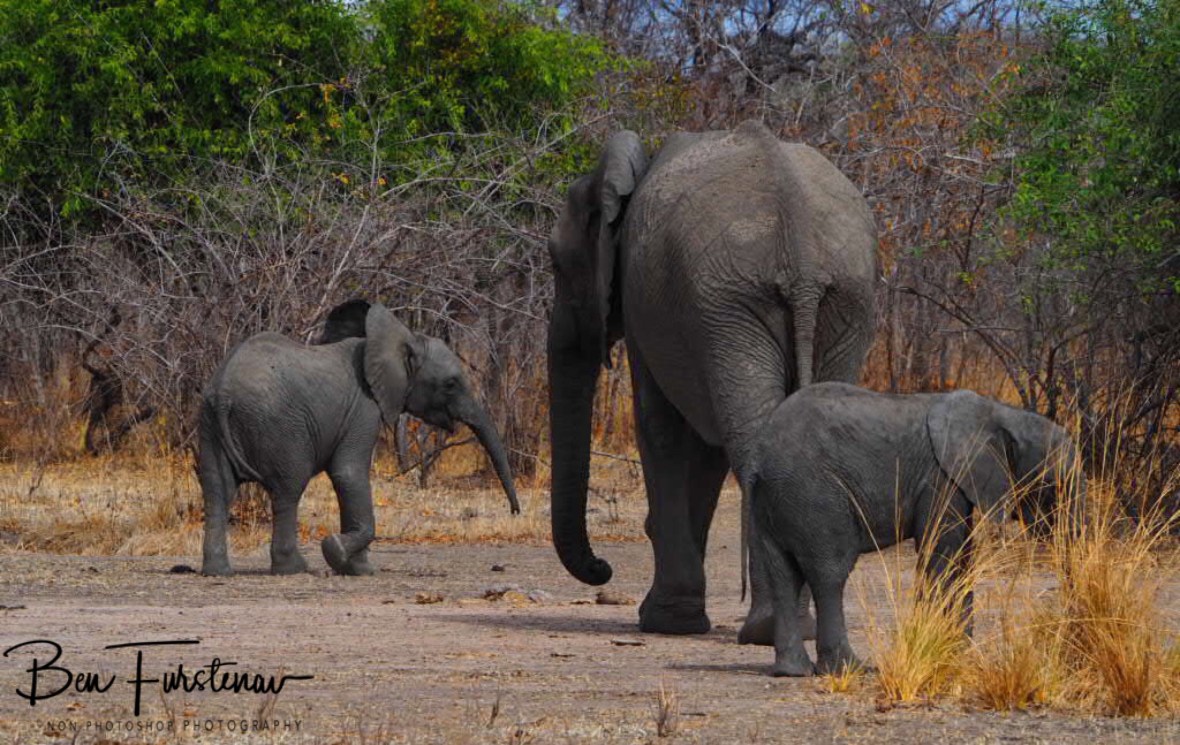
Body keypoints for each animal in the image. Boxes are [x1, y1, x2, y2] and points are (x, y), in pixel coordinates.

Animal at [198, 299, 520, 577]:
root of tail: (224, 390)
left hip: (209, 424)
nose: (515, 512)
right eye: (451, 384)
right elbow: (349, 474)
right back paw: (293, 568)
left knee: (217, 489)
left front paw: (357, 568)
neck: (392, 341)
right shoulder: (364, 409)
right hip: (281, 426)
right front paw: (341, 555)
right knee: (288, 488)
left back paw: (218, 572)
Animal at [546, 120, 878, 639]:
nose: (602, 568)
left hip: (738, 298)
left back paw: (767, 630)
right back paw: (797, 629)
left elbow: (661, 428)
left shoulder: (650, 307)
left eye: (557, 263)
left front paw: (665, 623)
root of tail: (801, 248)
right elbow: (705, 448)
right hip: (837, 301)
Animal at [749, 382, 1084, 676]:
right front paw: (948, 651)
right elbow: (943, 556)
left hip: (771, 502)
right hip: (815, 495)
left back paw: (793, 672)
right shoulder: (940, 478)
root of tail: (762, 456)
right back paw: (849, 669)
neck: (1001, 414)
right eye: (1053, 487)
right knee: (830, 574)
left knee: (783, 576)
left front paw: (959, 652)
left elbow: (961, 557)